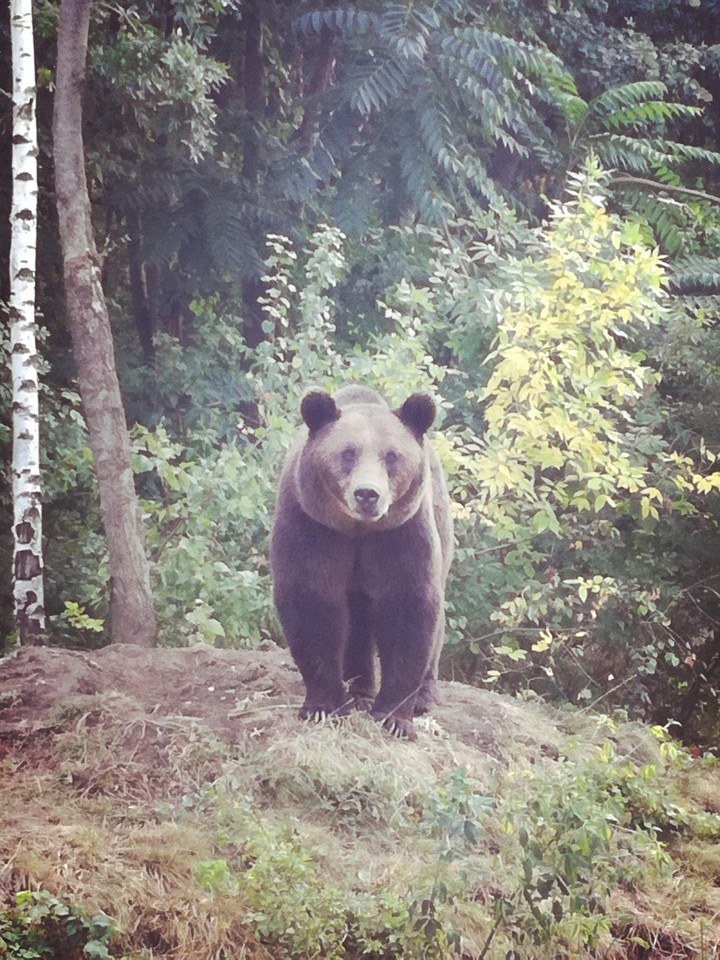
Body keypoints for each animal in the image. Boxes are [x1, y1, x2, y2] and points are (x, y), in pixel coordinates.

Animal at [269, 384, 453, 739]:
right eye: (348, 453)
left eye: (392, 456)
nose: (367, 494)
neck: (357, 530)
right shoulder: (312, 527)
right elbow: (312, 601)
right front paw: (324, 706)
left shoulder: (400, 534)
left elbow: (408, 607)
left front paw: (394, 717)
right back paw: (358, 688)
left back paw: (423, 695)